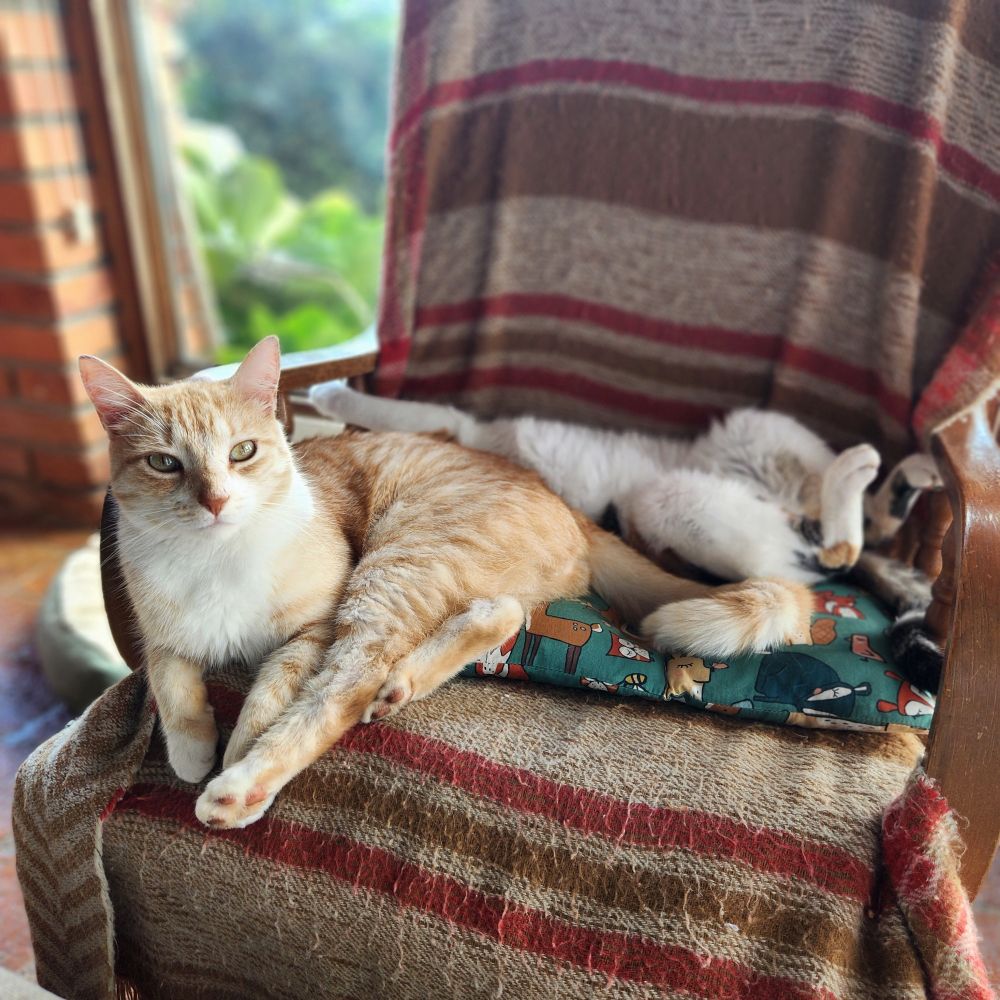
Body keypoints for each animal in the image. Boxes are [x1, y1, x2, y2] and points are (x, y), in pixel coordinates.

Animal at [78, 338, 812, 828]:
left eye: (242, 452)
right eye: (164, 464)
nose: (216, 501)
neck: (216, 559)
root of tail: (566, 503)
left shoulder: (313, 627)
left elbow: (267, 702)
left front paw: (228, 758)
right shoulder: (161, 636)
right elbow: (172, 689)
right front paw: (192, 751)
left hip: (394, 567)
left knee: (347, 688)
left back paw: (244, 788)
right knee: (498, 614)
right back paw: (402, 685)